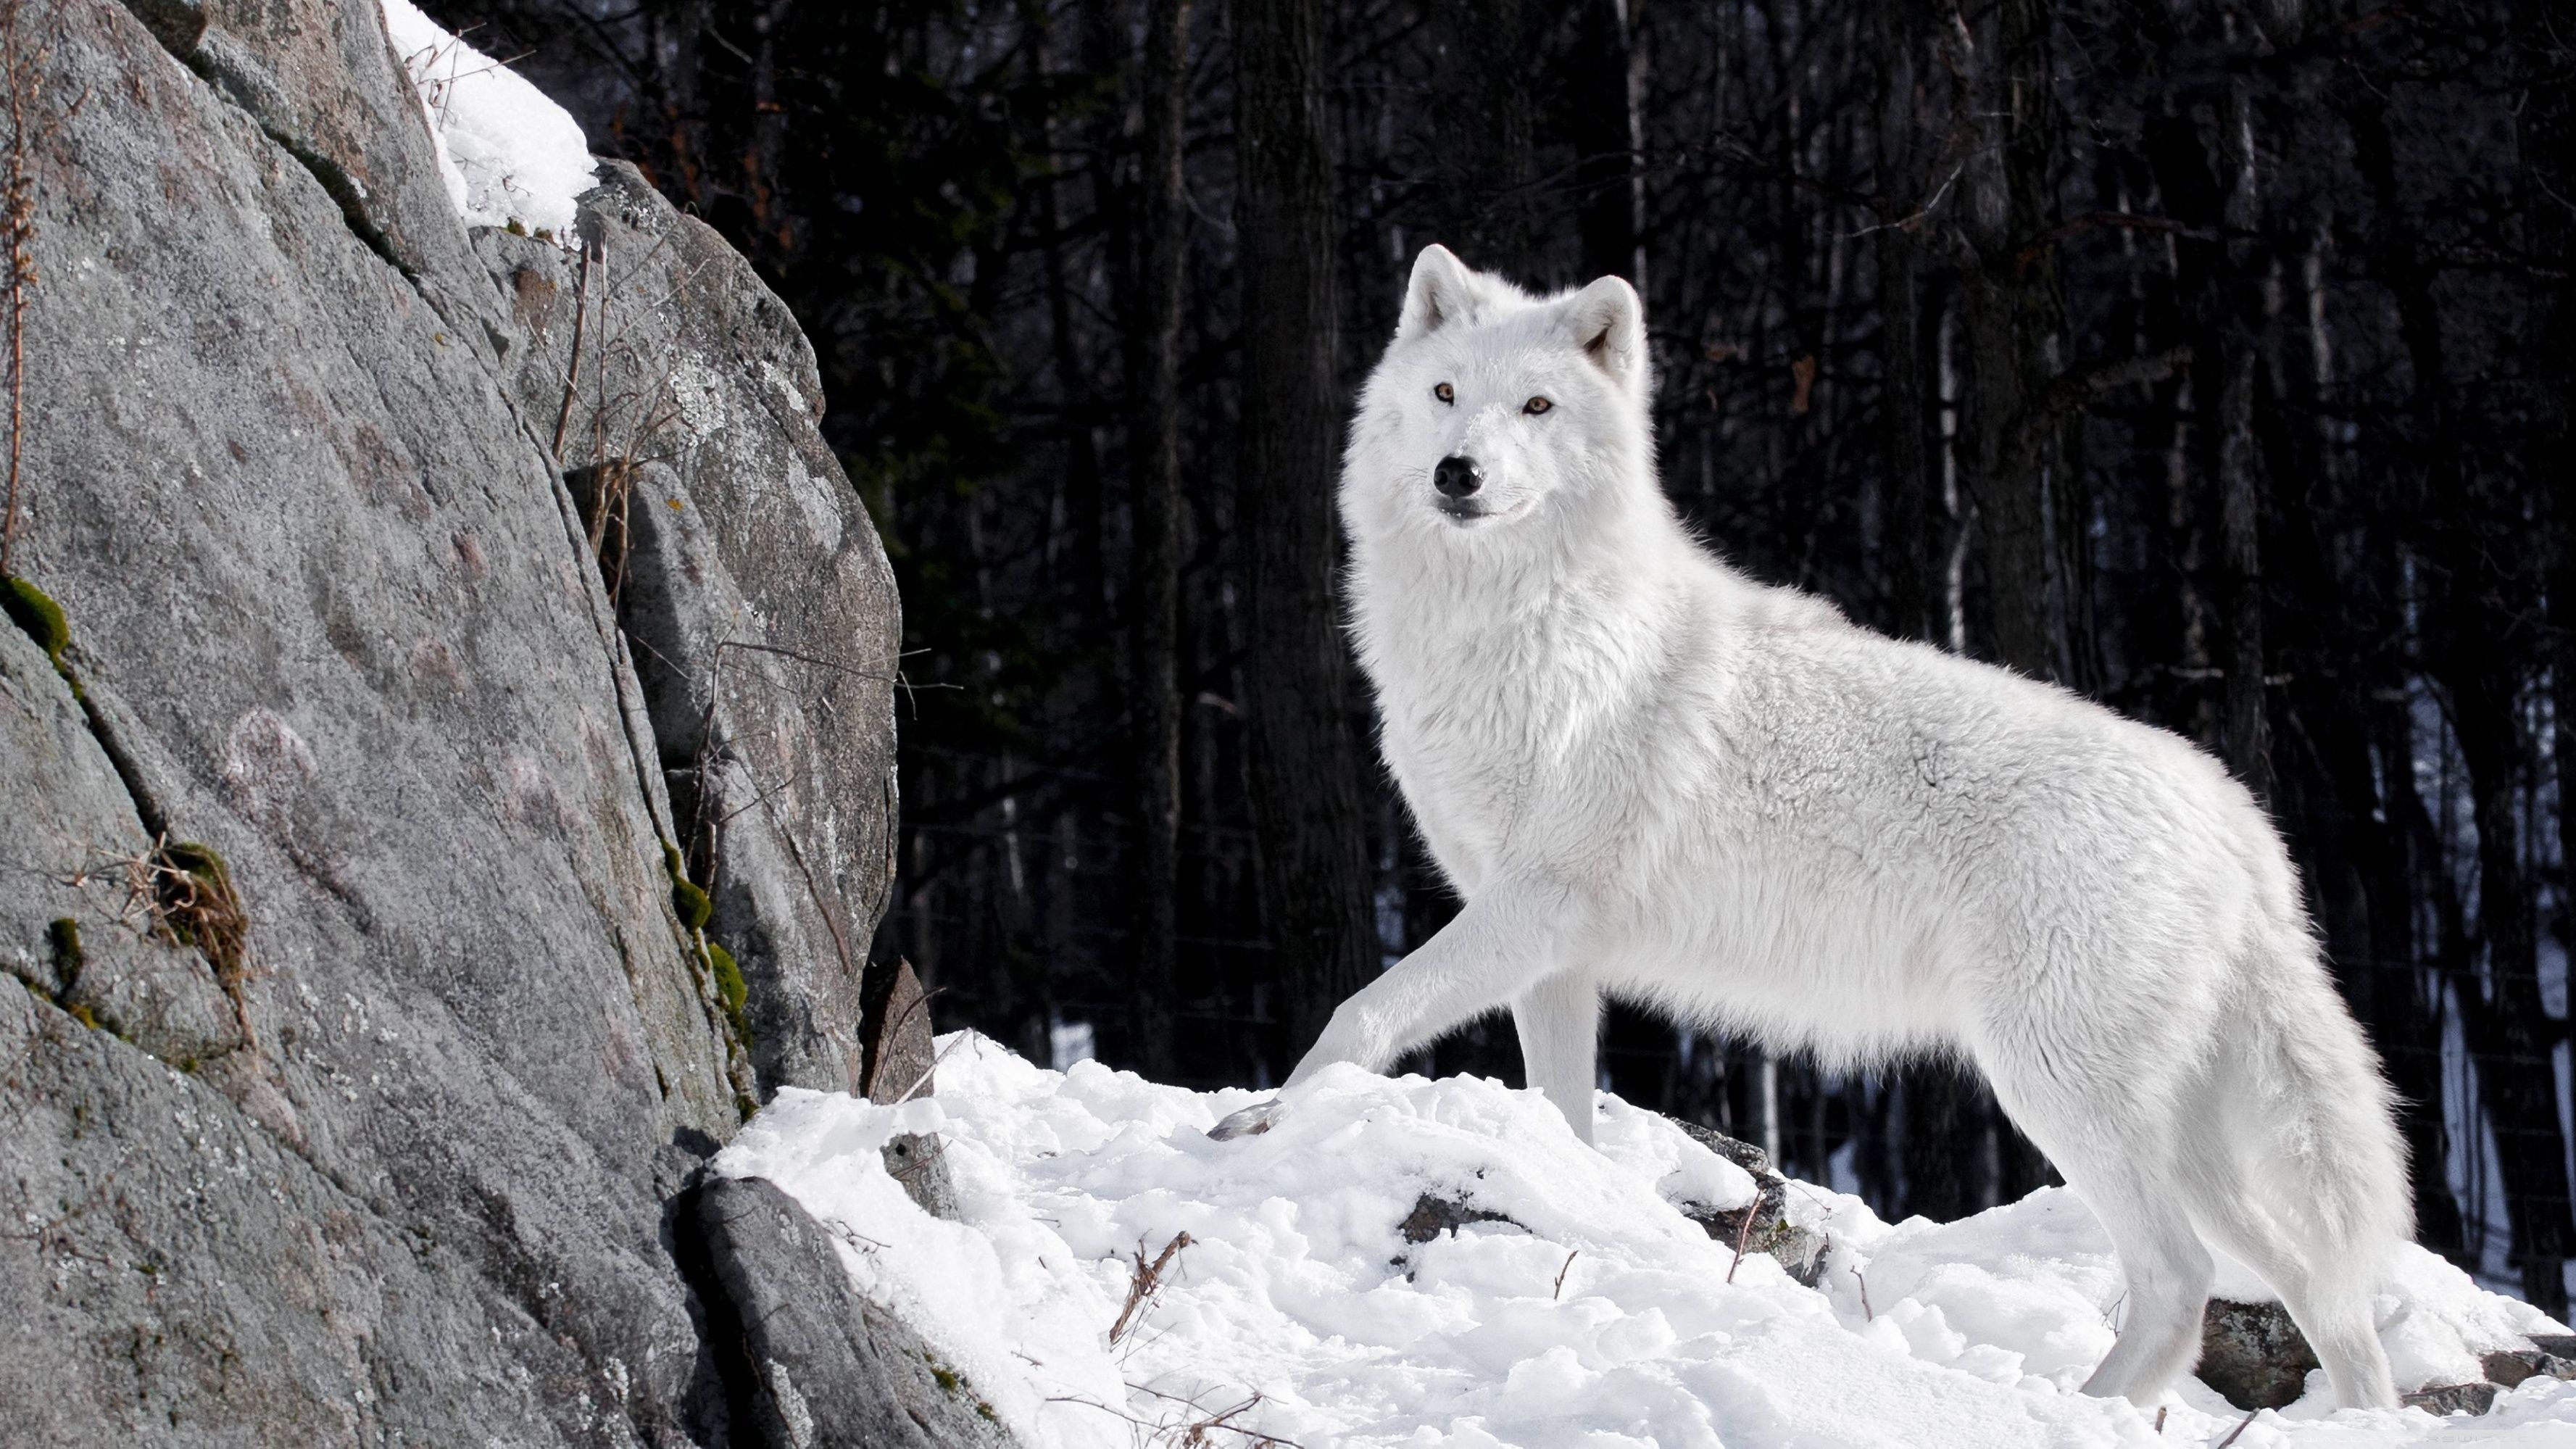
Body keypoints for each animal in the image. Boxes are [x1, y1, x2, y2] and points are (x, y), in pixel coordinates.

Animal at [1205, 242, 2411, 1402]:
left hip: (2056, 1088)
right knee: (2318, 1287)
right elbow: (1562, 1115)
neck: (1522, 629)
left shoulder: (1531, 907)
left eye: (1536, 407)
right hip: (2180, 1137)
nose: (1458, 473)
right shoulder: (1552, 955)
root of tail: (2235, 815)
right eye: (1447, 393)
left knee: (2181, 1280)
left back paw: (2082, 1409)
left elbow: (1355, 1014)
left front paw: (1257, 1124)